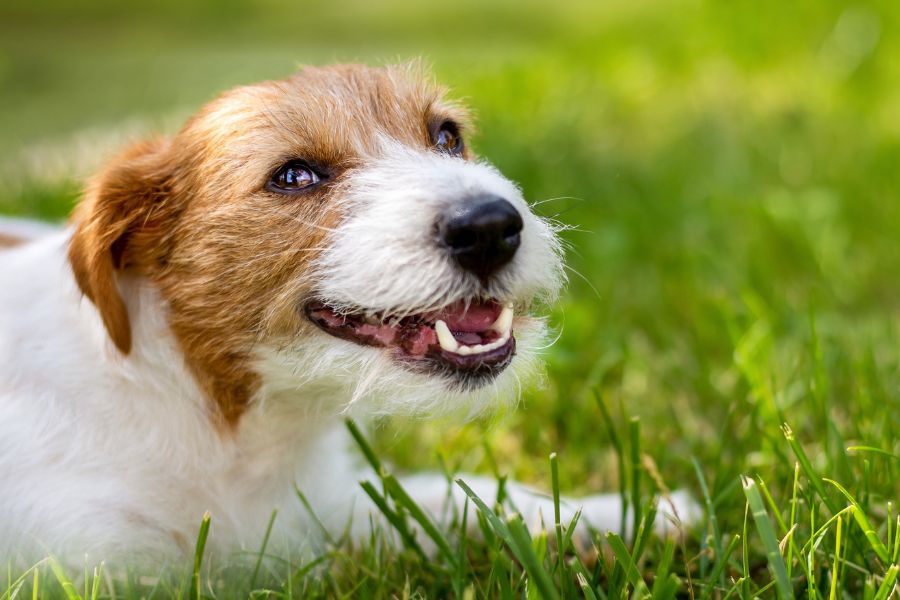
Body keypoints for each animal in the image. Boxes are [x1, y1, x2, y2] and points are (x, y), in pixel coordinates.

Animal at [0, 63, 696, 564]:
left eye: (447, 136)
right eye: (294, 176)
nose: (491, 227)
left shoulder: (331, 506)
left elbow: (458, 497)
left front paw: (626, 513)